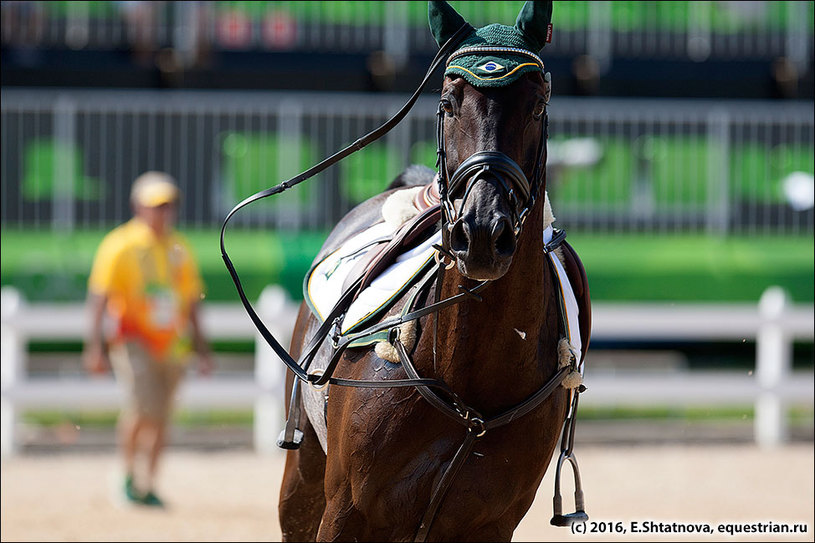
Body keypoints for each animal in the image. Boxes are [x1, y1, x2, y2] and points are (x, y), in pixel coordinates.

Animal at [268, 2, 592, 540]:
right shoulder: (344, 510)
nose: (482, 233)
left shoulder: (492, 524)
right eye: (448, 101)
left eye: (537, 106)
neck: (467, 379)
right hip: (303, 481)